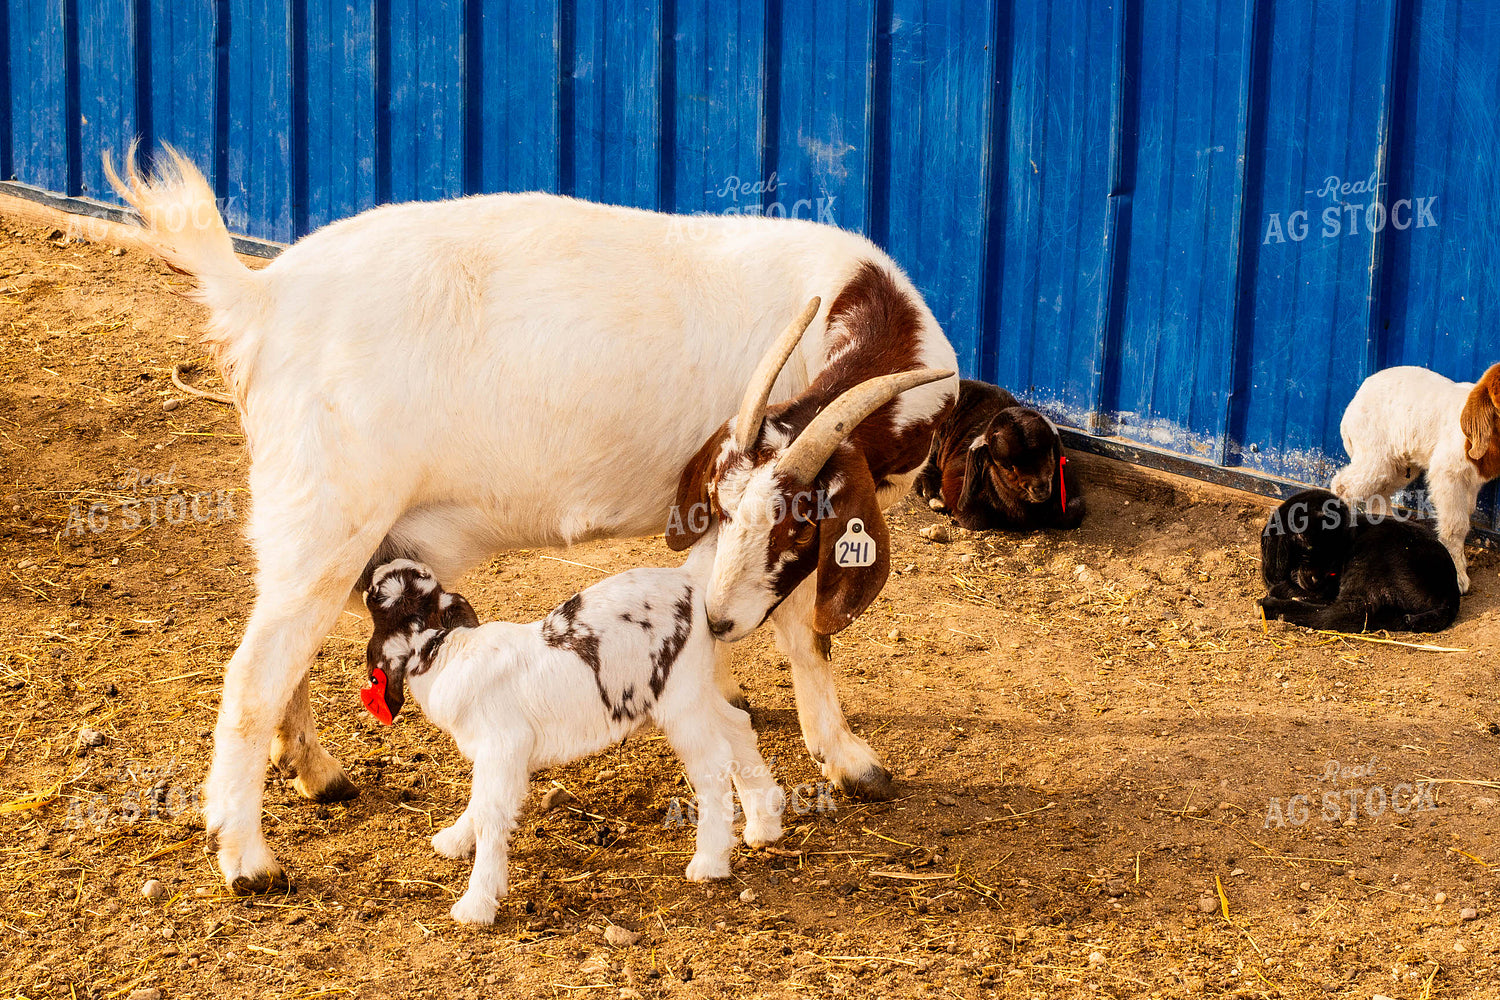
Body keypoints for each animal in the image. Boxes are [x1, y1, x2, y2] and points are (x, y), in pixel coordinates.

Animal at [361, 537, 782, 924]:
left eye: (376, 594)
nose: (378, 564)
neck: (441, 649)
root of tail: (688, 578)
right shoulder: (499, 758)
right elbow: (480, 806)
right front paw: (452, 840)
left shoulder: (502, 747)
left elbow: (490, 814)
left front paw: (476, 904)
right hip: (698, 689)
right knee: (738, 727)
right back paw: (764, 825)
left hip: (681, 704)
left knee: (712, 764)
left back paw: (710, 861)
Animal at [914, 379, 1084, 531]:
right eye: (1007, 466)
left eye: (1048, 453)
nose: (1040, 489)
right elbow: (975, 520)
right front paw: (941, 496)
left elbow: (1073, 513)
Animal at [1330, 363, 1500, 593]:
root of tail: (1353, 404)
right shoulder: (1447, 472)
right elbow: (1455, 523)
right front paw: (1458, 577)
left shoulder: (1472, 481)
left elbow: (1466, 513)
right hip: (1374, 452)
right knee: (1344, 486)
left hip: (1401, 465)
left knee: (1380, 492)